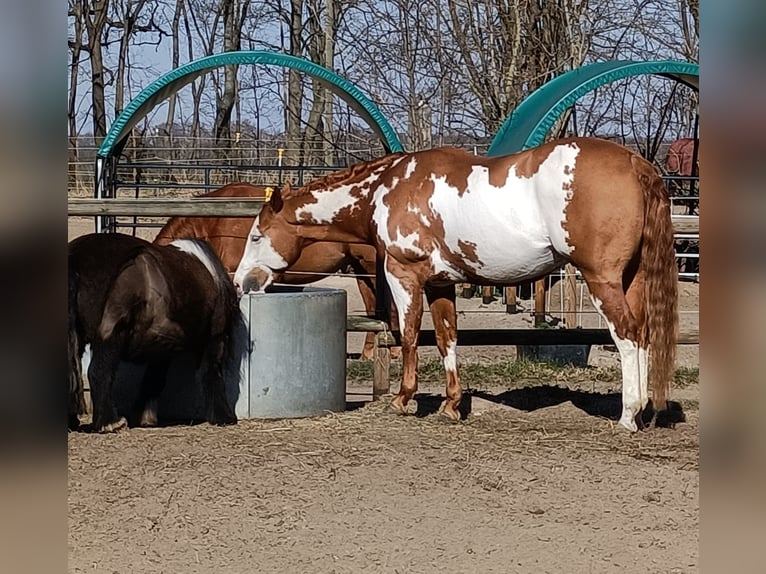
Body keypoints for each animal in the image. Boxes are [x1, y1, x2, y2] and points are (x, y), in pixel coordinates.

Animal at [70, 233, 243, 432]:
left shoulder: (162, 348)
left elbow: (153, 380)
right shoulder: (214, 338)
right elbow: (211, 374)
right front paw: (224, 417)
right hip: (110, 334)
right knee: (99, 371)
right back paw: (110, 422)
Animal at [232, 137, 680, 432]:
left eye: (255, 236)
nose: (240, 283)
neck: (385, 189)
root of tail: (635, 163)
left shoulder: (404, 274)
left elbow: (410, 334)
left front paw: (403, 399)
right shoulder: (441, 283)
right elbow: (447, 338)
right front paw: (451, 405)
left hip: (602, 280)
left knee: (627, 336)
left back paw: (627, 416)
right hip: (632, 279)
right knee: (643, 336)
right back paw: (643, 412)